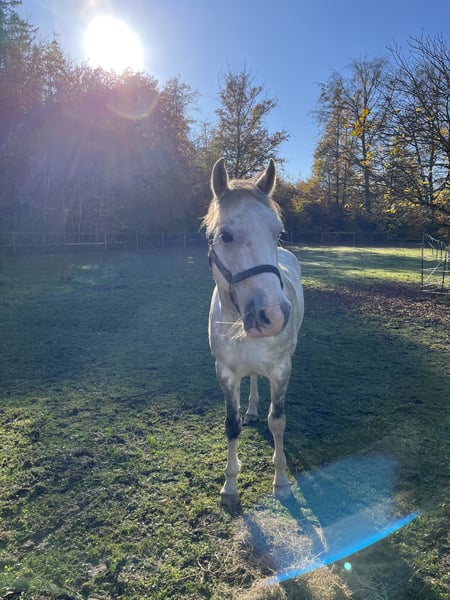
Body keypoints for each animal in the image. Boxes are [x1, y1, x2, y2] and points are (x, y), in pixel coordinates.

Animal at [203, 158, 304, 508]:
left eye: (278, 233)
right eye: (226, 235)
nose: (274, 316)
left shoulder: (282, 370)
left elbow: (278, 421)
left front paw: (282, 482)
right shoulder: (224, 372)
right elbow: (231, 425)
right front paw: (229, 488)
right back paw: (250, 410)